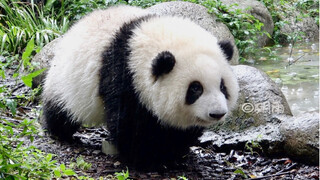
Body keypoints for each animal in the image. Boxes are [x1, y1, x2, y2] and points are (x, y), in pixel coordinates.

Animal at [42, 4, 238, 169]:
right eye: (196, 88)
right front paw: (147, 158)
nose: (217, 113)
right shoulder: (124, 75)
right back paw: (59, 131)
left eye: (223, 86)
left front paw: (174, 151)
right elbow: (130, 123)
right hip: (66, 82)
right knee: (61, 110)